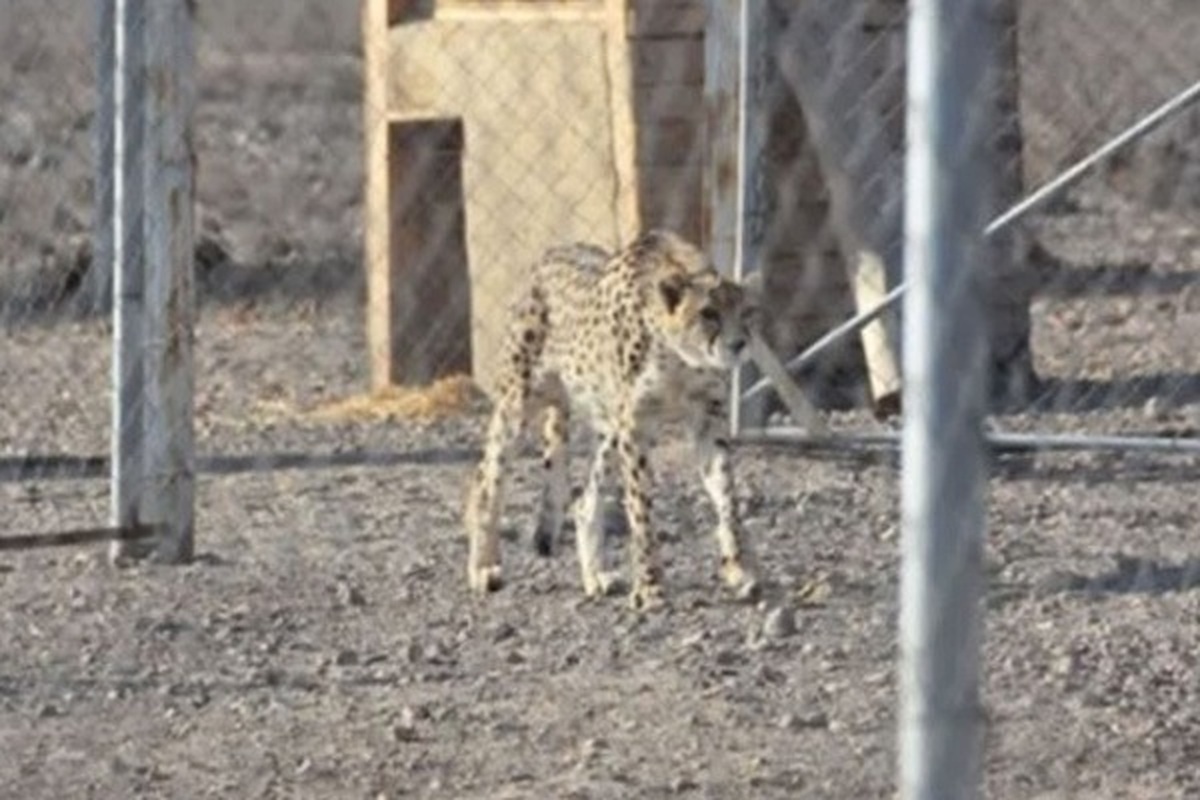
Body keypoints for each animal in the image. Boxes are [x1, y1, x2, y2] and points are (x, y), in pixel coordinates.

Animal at [465, 227, 758, 609]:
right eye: (709, 313)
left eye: (749, 312)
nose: (739, 344)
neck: (680, 358)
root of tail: (550, 253)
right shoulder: (635, 426)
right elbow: (640, 508)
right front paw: (650, 585)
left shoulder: (708, 418)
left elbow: (727, 495)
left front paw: (739, 567)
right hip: (518, 402)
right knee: (486, 479)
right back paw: (483, 567)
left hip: (605, 424)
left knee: (584, 500)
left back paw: (596, 576)